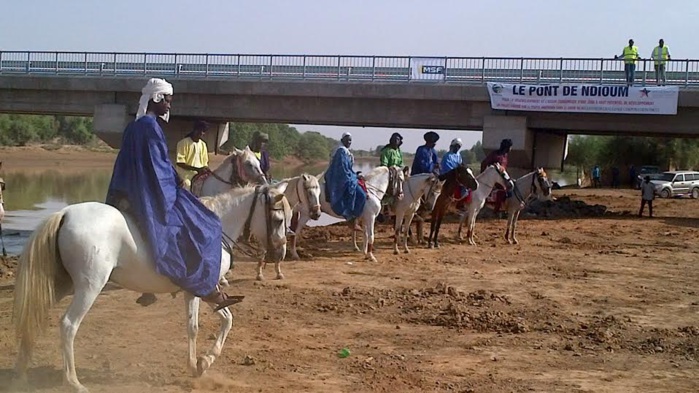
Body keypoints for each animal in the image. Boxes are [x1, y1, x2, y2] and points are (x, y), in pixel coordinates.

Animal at [13, 183, 292, 392]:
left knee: (32, 316)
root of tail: (66, 214)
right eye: (277, 219)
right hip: (89, 287)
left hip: (59, 284)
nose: (280, 254)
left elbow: (224, 319)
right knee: (68, 325)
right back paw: (72, 381)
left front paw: (203, 361)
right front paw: (198, 364)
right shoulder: (199, 289)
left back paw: (21, 373)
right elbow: (198, 326)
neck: (213, 227)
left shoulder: (206, 291)